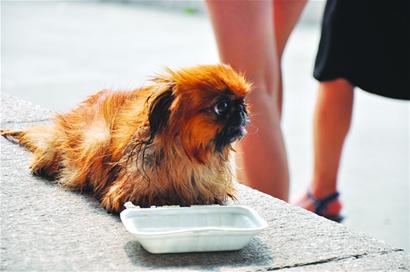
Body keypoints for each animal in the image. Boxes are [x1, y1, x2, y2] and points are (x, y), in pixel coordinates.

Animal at [0, 64, 250, 212]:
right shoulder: (127, 195)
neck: (188, 153)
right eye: (222, 106)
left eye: (242, 102)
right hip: (96, 141)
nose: (242, 110)